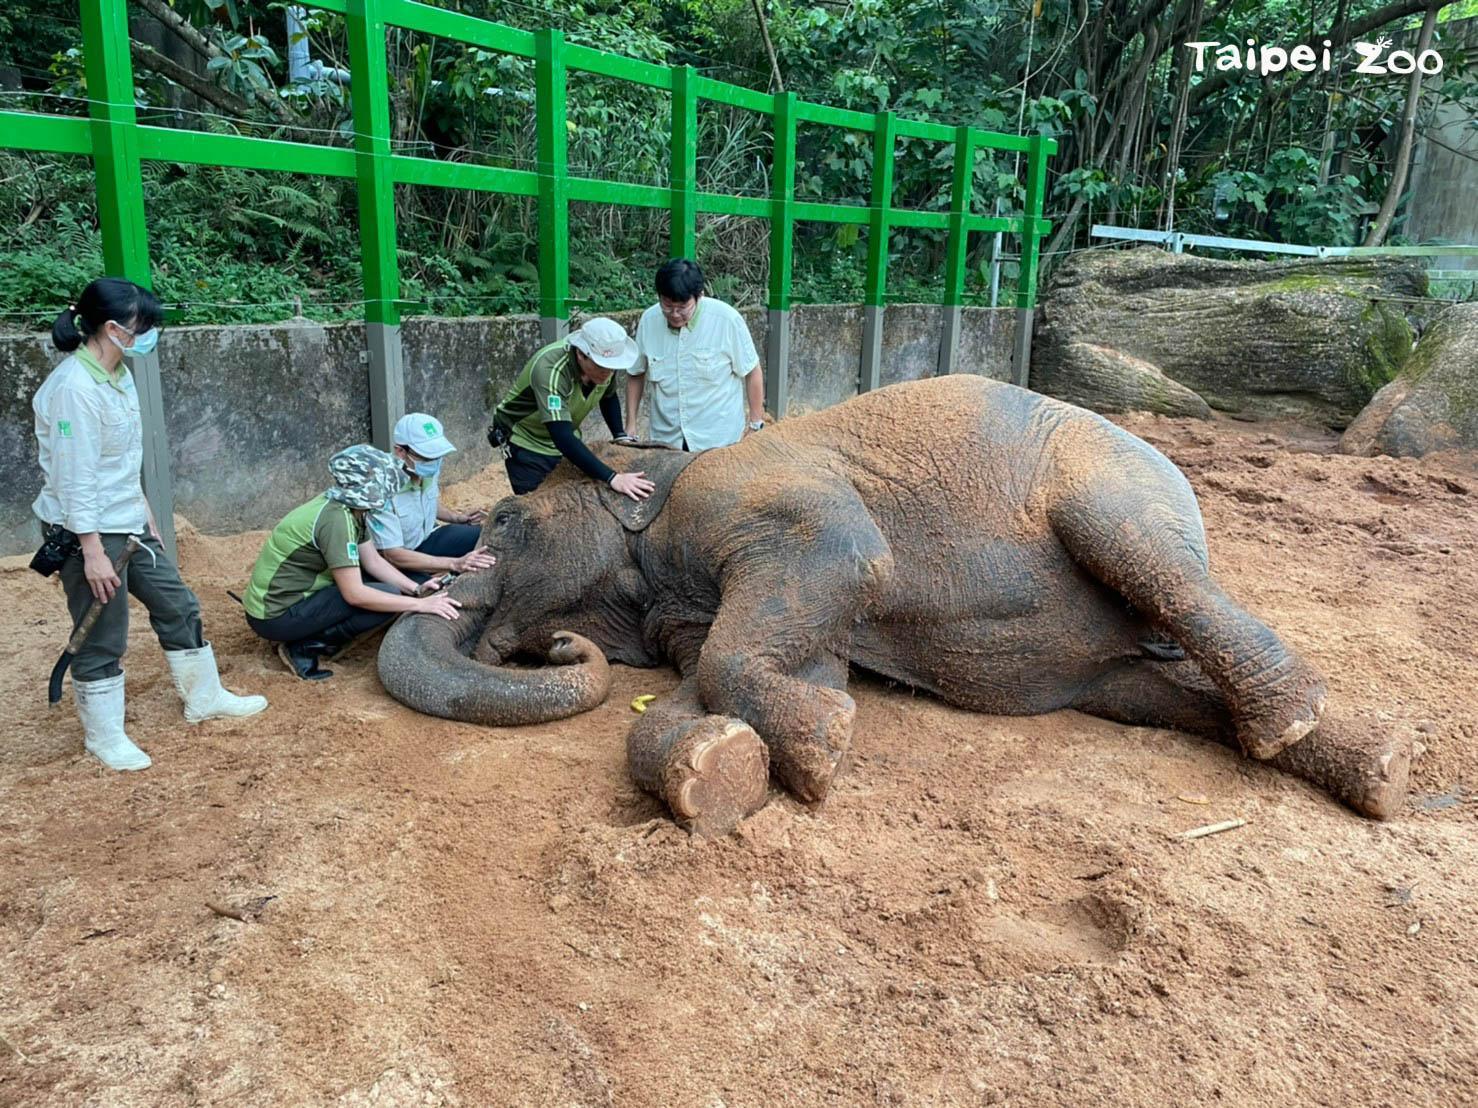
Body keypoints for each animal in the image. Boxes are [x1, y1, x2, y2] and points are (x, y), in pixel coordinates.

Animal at [377, 376, 1411, 835]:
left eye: (507, 519)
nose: (553, 646)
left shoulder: (760, 501)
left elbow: (836, 574)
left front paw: (824, 750)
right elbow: (762, 660)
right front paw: (721, 770)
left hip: (1118, 483)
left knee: (1145, 558)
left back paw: (1296, 720)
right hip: (1112, 667)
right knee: (1152, 695)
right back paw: (1378, 767)